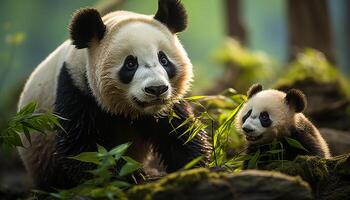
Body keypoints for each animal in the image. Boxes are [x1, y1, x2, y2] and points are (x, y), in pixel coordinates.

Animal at [17, 0, 212, 191]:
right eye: (130, 64)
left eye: (163, 59)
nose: (156, 89)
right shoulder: (76, 88)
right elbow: (82, 146)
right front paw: (129, 174)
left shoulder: (168, 105)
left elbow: (179, 131)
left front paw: (194, 164)